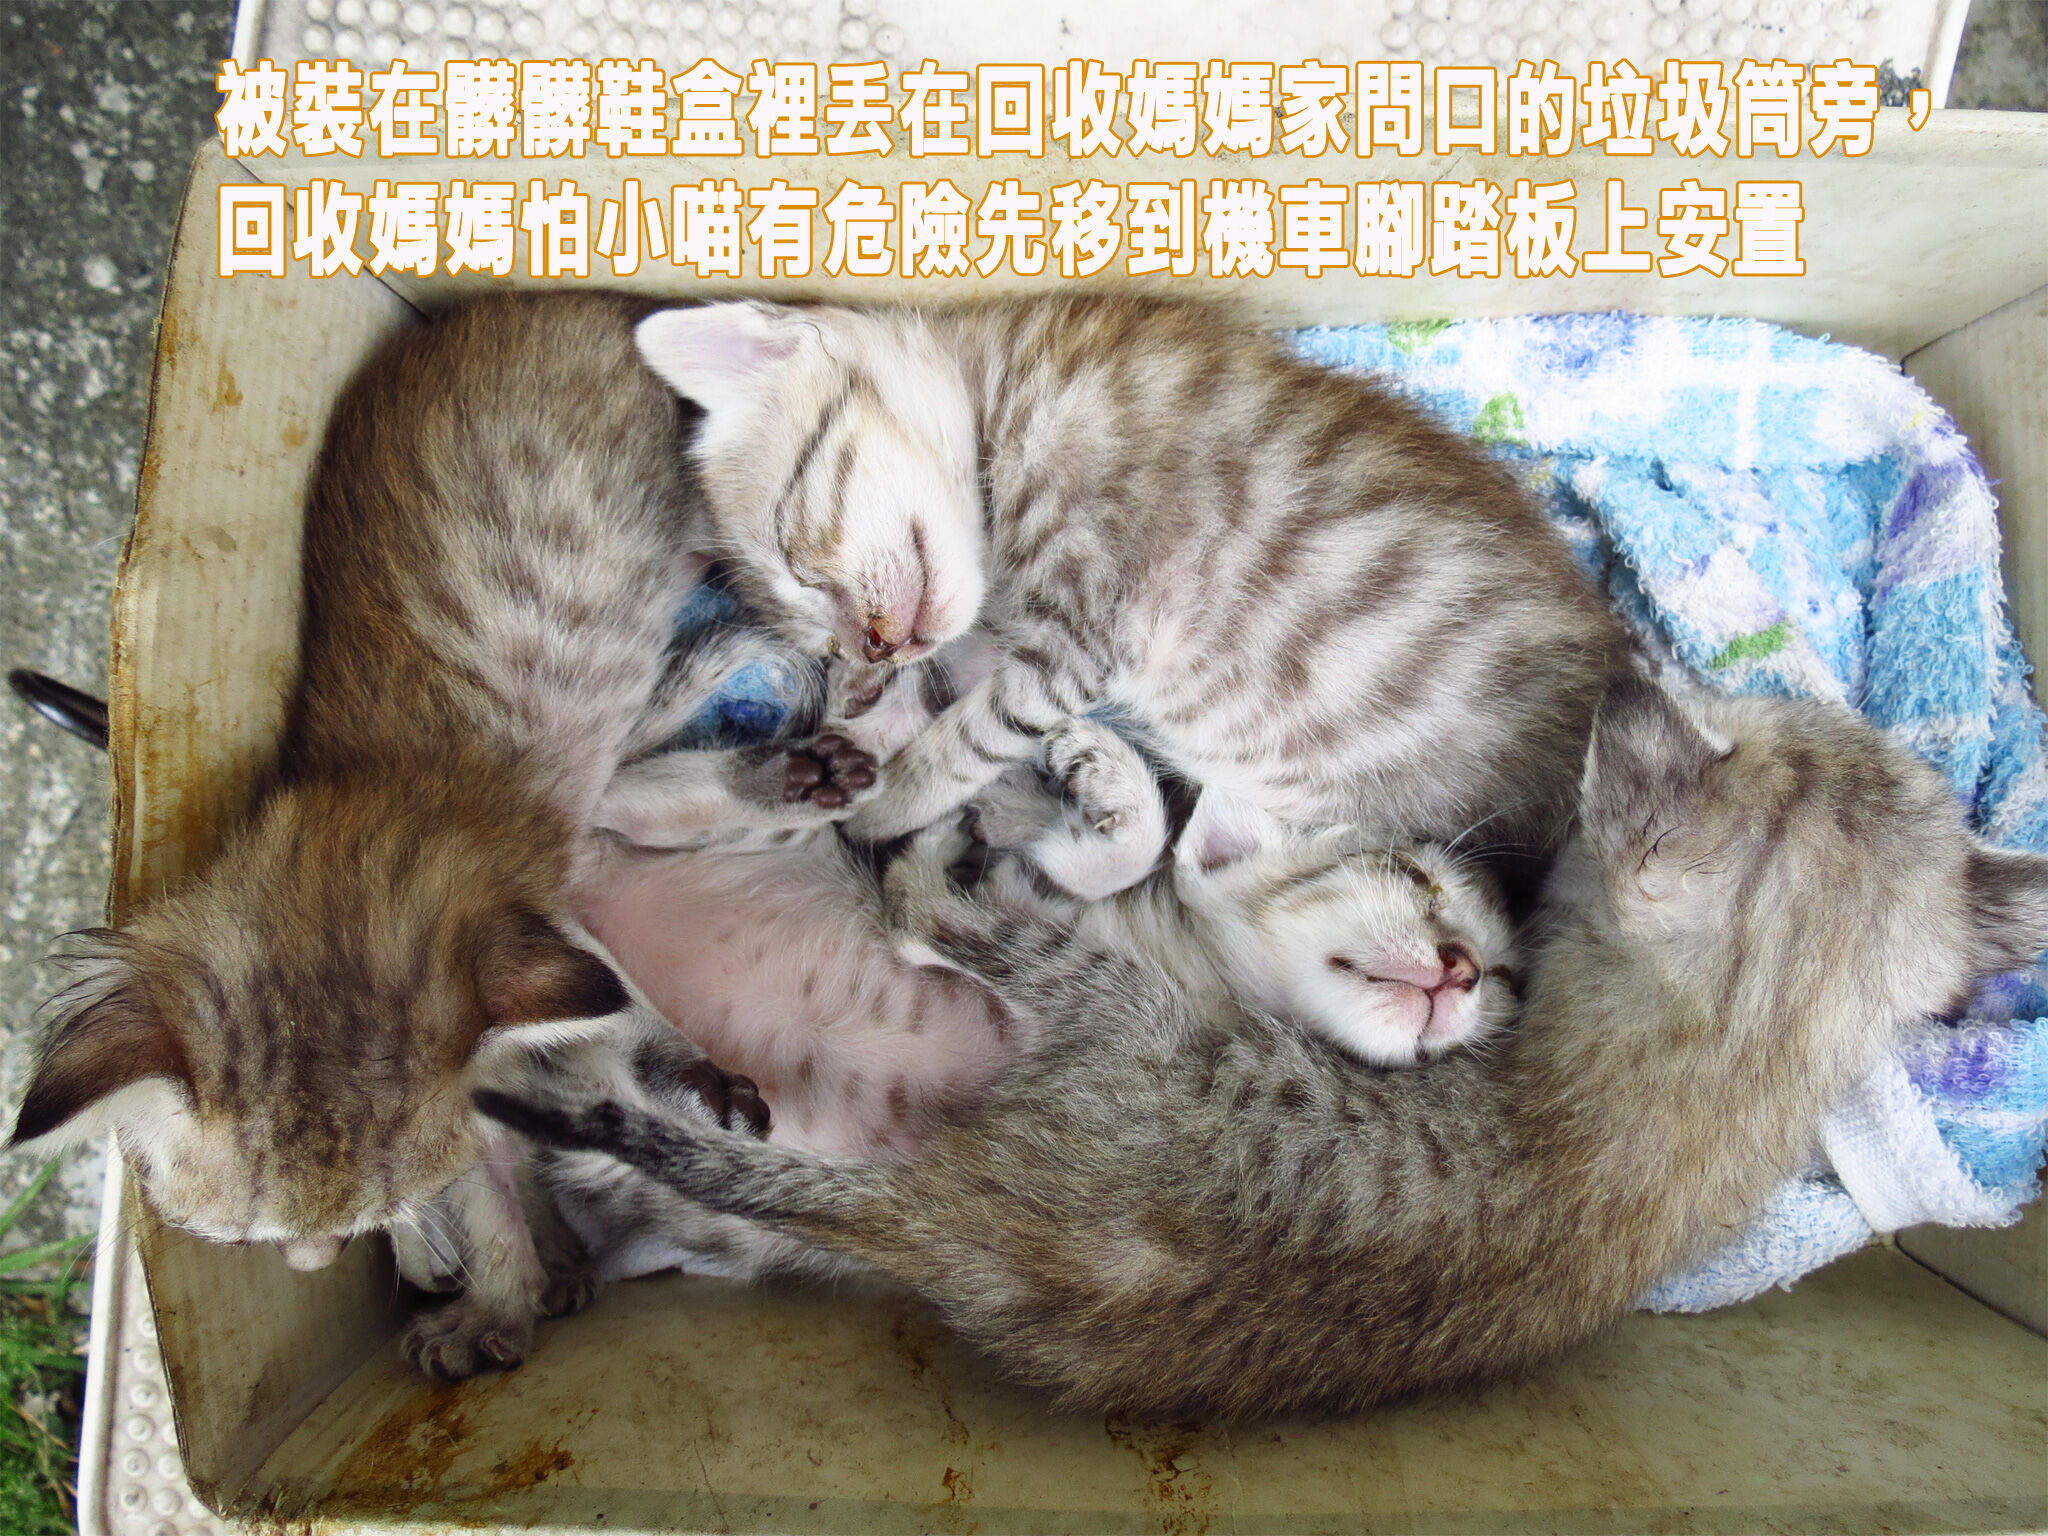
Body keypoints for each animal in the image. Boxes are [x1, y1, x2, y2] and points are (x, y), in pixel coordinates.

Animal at [5, 295, 876, 1381]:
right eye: (252, 1240)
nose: (309, 1263)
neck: (359, 827)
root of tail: (552, 298)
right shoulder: (535, 959)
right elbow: (512, 1152)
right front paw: (508, 1280)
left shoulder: (544, 924)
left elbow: (621, 1016)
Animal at [479, 675, 2048, 1419]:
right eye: (1422, 888)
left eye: (1509, 970)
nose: (1463, 967)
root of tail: (962, 1228)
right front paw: (1065, 775)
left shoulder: (1071, 944)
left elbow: (1064, 857)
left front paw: (1080, 785)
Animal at [632, 294, 1631, 892]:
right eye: (821, 638)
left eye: (793, 552)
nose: (873, 647)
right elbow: (957, 693)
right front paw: (860, 723)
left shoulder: (1088, 622)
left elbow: (969, 737)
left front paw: (885, 803)